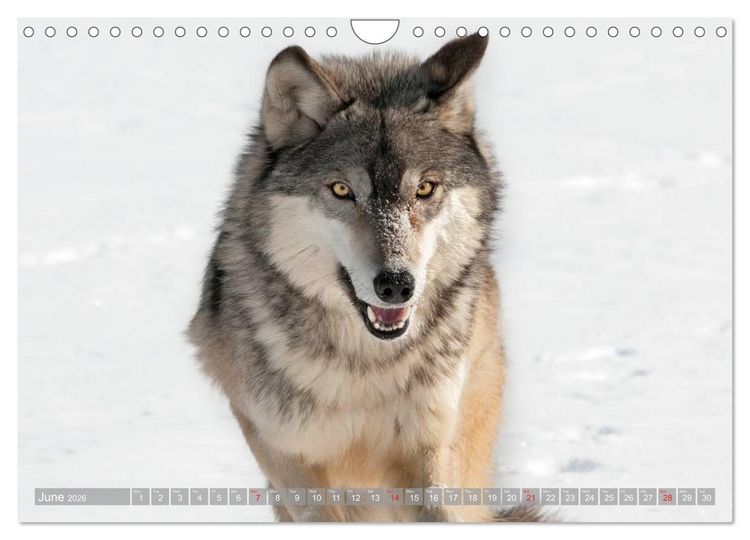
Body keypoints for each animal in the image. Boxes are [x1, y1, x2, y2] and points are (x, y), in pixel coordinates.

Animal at [188, 33, 538, 522]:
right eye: (341, 190)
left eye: (424, 188)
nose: (396, 284)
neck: (364, 367)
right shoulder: (286, 453)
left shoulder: (429, 446)